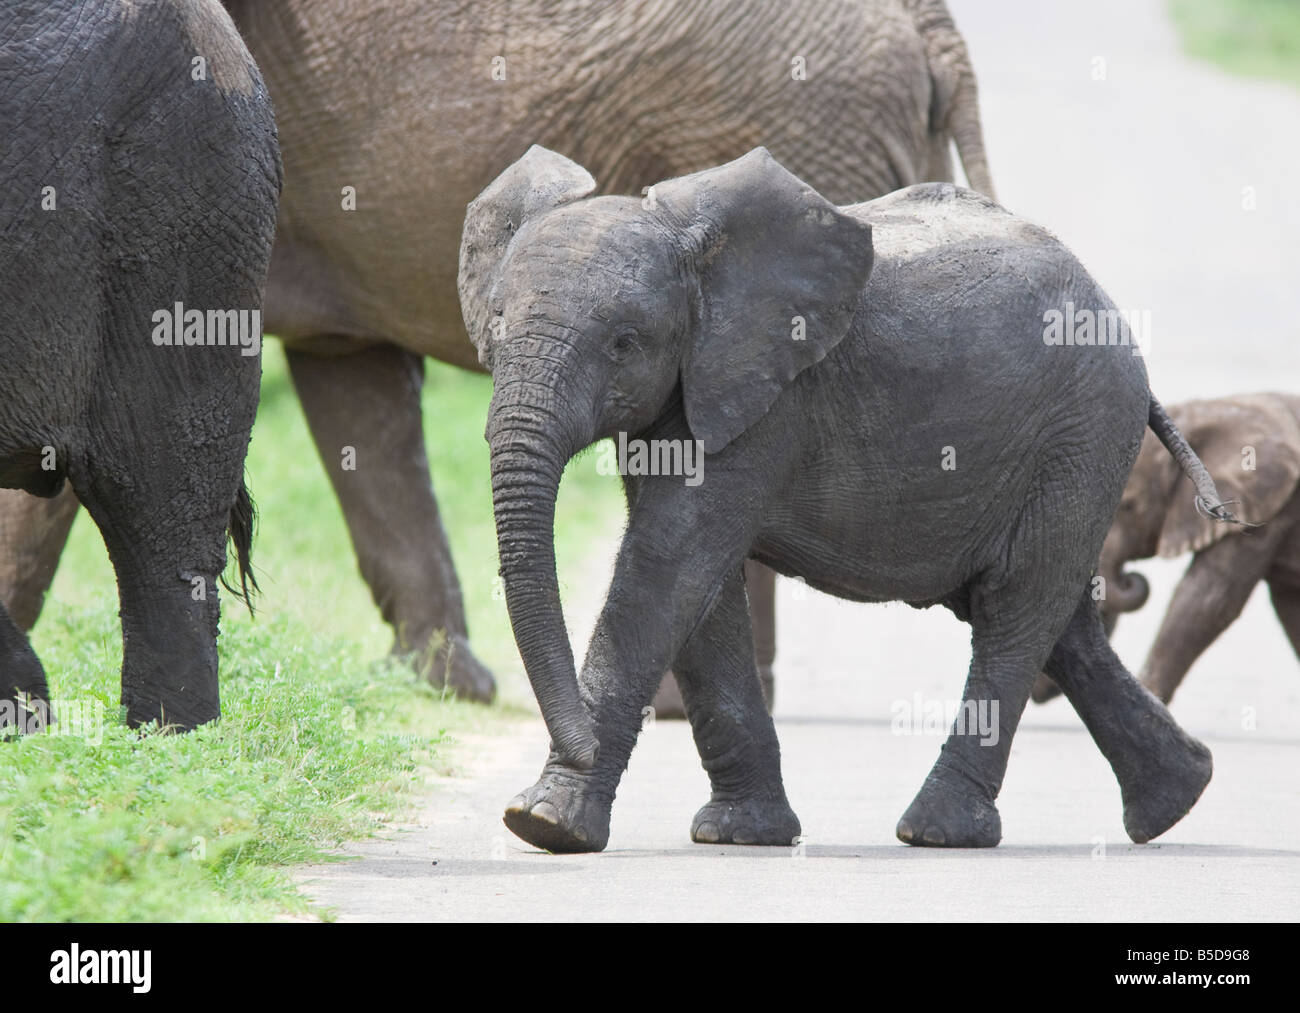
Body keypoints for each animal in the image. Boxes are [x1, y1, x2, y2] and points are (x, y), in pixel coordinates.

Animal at [458, 145, 1236, 852]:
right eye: (494, 323)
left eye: (624, 342)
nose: (577, 743)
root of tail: (1112, 310)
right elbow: (701, 591)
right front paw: (741, 835)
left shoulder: (771, 399)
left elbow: (668, 566)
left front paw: (544, 823)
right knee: (1057, 619)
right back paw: (1178, 798)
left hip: (1082, 430)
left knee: (1017, 607)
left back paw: (938, 832)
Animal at [1032, 393, 1300, 706]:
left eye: (1128, 506)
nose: (1130, 578)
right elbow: (1290, 612)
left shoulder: (1272, 507)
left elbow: (1209, 600)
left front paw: (1151, 693)